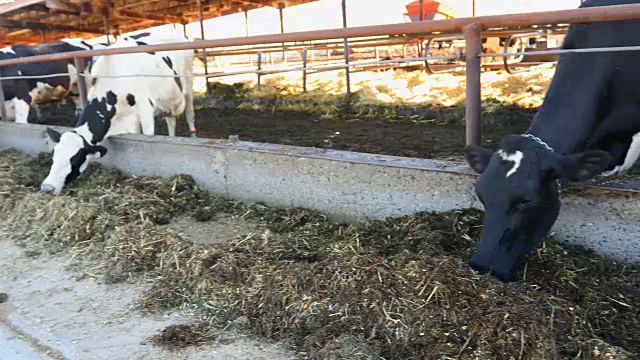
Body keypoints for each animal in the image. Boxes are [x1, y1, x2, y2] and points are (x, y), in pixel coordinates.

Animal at [40, 33, 195, 194]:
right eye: (53, 154)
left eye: (75, 159)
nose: (47, 187)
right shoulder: (130, 121)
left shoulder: (145, 111)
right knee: (171, 121)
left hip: (188, 84)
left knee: (190, 115)